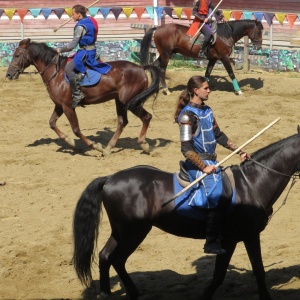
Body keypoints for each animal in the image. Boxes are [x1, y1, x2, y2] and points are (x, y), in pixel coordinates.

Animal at [5, 38, 161, 156]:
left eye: (17, 56)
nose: (9, 74)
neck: (56, 73)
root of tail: (141, 68)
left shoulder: (68, 107)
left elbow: (76, 129)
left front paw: (94, 146)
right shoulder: (59, 106)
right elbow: (52, 123)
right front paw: (70, 141)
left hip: (130, 102)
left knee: (146, 117)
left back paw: (143, 145)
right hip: (120, 102)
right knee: (123, 122)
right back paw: (109, 147)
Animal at [72, 126, 300, 300]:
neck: (251, 183)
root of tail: (110, 178)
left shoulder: (238, 238)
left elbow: (238, 272)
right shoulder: (240, 238)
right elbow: (243, 272)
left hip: (122, 232)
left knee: (107, 256)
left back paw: (113, 293)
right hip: (133, 232)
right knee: (115, 258)